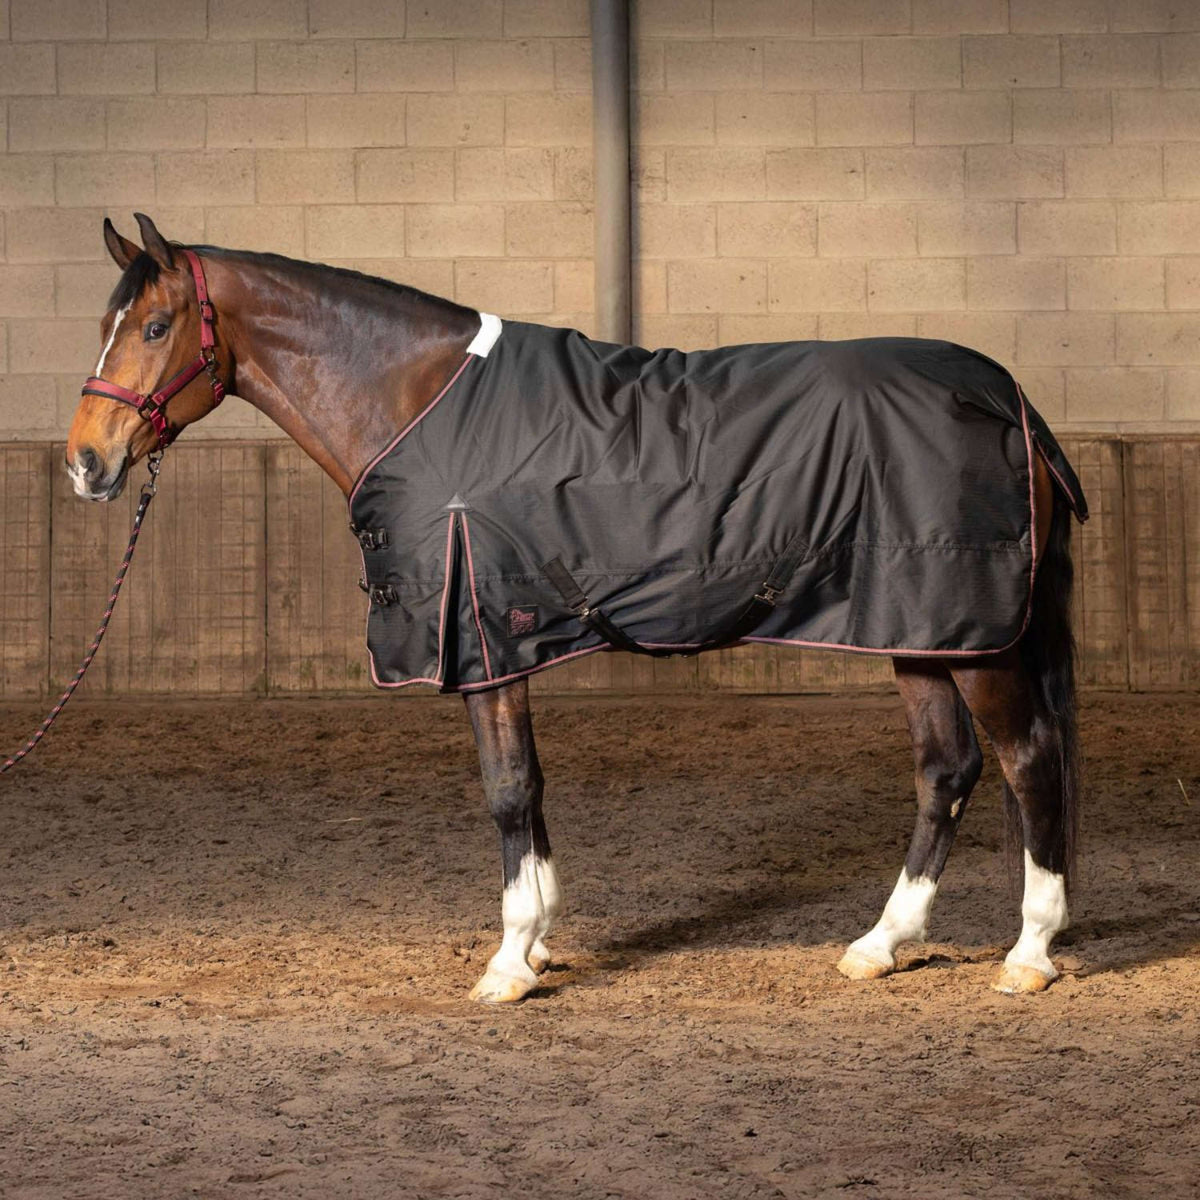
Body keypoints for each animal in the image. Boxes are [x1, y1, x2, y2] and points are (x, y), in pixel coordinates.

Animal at [66, 213, 1083, 1004]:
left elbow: (509, 788)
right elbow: (531, 788)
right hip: (916, 627)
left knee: (1028, 757)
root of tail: (1009, 398)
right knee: (946, 770)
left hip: (975, 639)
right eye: (107, 323)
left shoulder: (484, 638)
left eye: (154, 325)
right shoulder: (505, 639)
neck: (419, 403)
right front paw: (540, 942)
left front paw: (509, 961)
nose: (85, 461)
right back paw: (882, 944)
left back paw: (1029, 952)